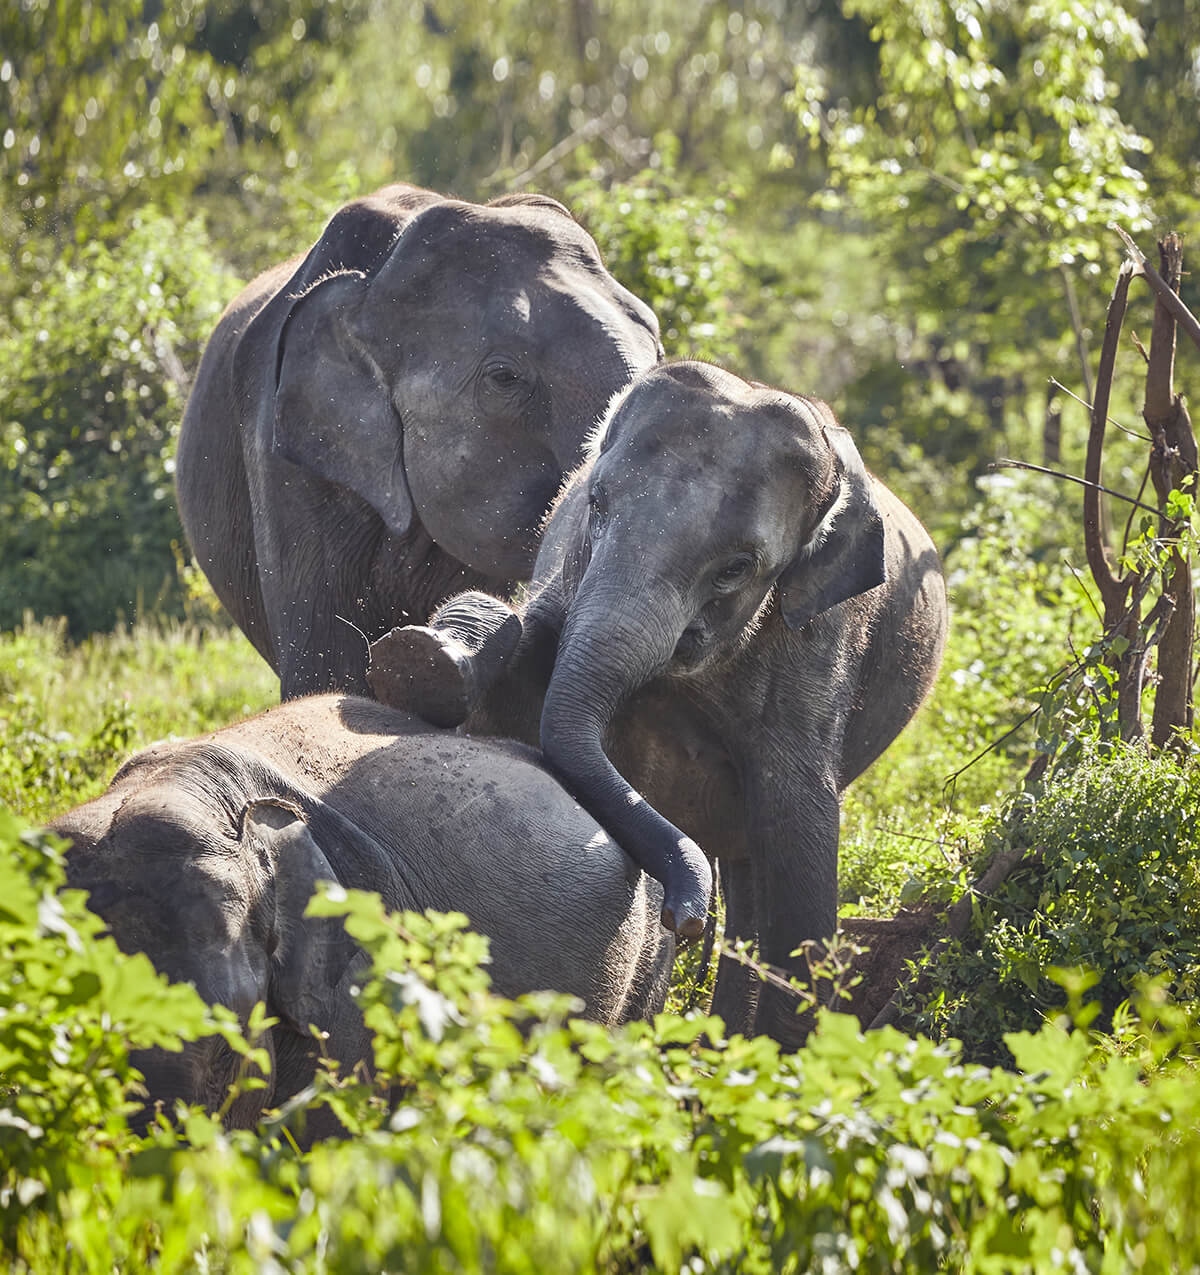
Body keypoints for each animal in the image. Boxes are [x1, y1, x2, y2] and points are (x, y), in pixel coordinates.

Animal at [369, 357, 948, 1045]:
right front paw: (424, 660)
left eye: (736, 568)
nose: (684, 917)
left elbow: (801, 850)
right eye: (595, 503)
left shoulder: (816, 648)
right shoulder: (567, 567)